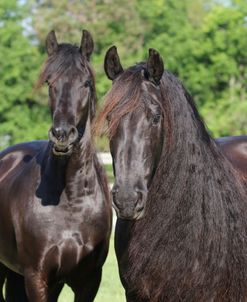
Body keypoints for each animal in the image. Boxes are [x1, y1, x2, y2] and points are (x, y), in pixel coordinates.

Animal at [0, 31, 111, 302]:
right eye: (50, 82)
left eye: (86, 83)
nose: (62, 135)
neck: (71, 201)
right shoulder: (36, 277)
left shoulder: (89, 280)